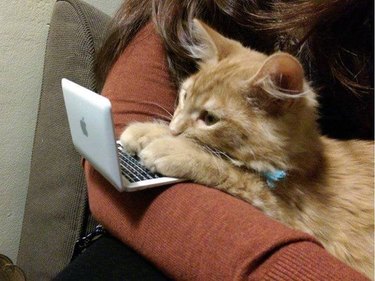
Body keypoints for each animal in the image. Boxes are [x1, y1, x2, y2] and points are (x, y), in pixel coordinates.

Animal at [122, 19, 374, 278]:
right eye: (184, 96)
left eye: (209, 119)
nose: (173, 130)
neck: (308, 166)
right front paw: (149, 131)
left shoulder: (295, 219)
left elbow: (234, 171)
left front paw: (175, 148)